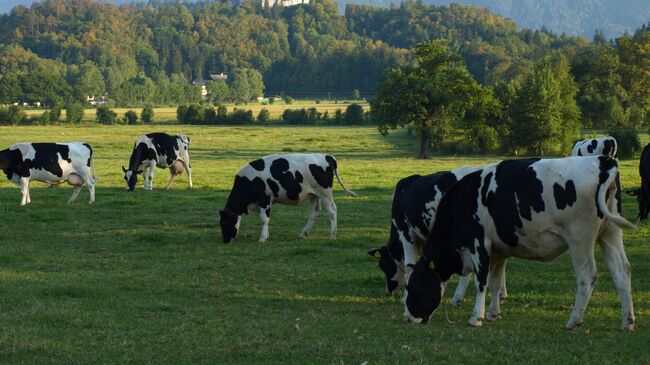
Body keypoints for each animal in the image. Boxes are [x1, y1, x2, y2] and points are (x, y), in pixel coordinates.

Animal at [220, 152, 356, 243]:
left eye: (224, 223)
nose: (225, 240)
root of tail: (328, 156)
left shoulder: (265, 199)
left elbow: (264, 219)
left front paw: (262, 238)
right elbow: (266, 218)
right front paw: (267, 235)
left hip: (325, 193)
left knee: (332, 211)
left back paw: (332, 235)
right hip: (314, 195)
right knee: (314, 213)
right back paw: (303, 234)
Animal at [368, 168, 504, 304]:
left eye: (383, 266)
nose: (388, 292)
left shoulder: (406, 233)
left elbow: (409, 265)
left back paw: (457, 297)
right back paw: (501, 295)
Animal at [402, 155, 636, 332]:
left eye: (413, 288)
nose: (408, 318)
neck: (461, 203)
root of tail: (602, 160)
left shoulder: (479, 242)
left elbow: (481, 281)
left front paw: (476, 317)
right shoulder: (498, 251)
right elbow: (495, 283)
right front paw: (494, 313)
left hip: (580, 239)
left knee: (587, 276)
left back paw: (574, 321)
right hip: (610, 233)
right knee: (621, 271)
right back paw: (627, 321)